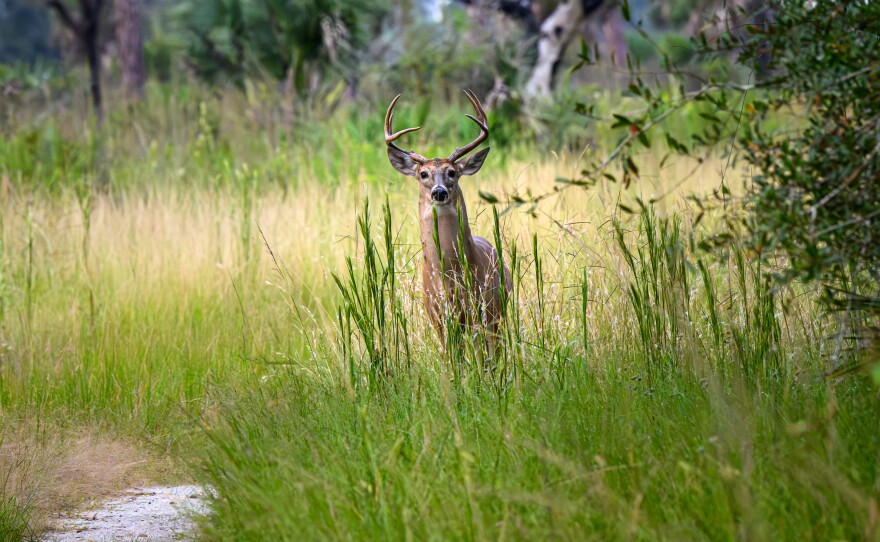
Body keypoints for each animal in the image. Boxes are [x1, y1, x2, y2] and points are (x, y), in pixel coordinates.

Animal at [382, 89, 512, 346]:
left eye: (452, 172)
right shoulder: (438, 318)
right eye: (423, 174)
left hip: (498, 310)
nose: (439, 192)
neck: (449, 277)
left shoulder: (480, 311)